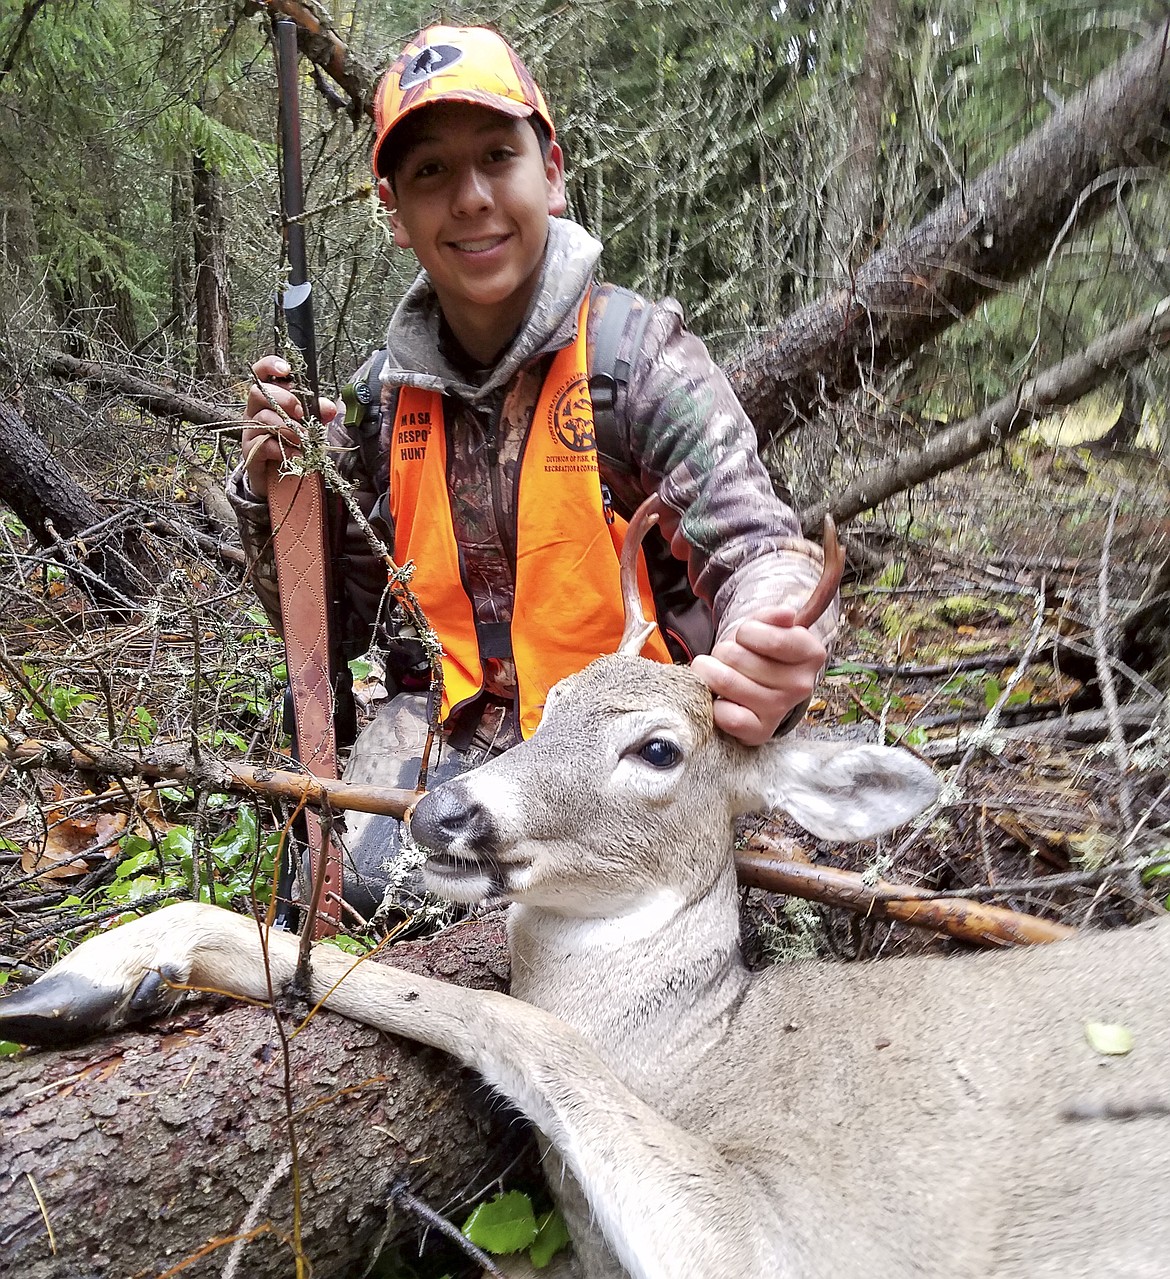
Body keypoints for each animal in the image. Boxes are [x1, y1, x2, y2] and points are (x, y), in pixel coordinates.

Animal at [2, 501, 1170, 1279]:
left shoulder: (800, 1234)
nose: (442, 811)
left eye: (657, 749)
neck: (713, 1044)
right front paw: (88, 973)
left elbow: (530, 1027)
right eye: (553, 700)